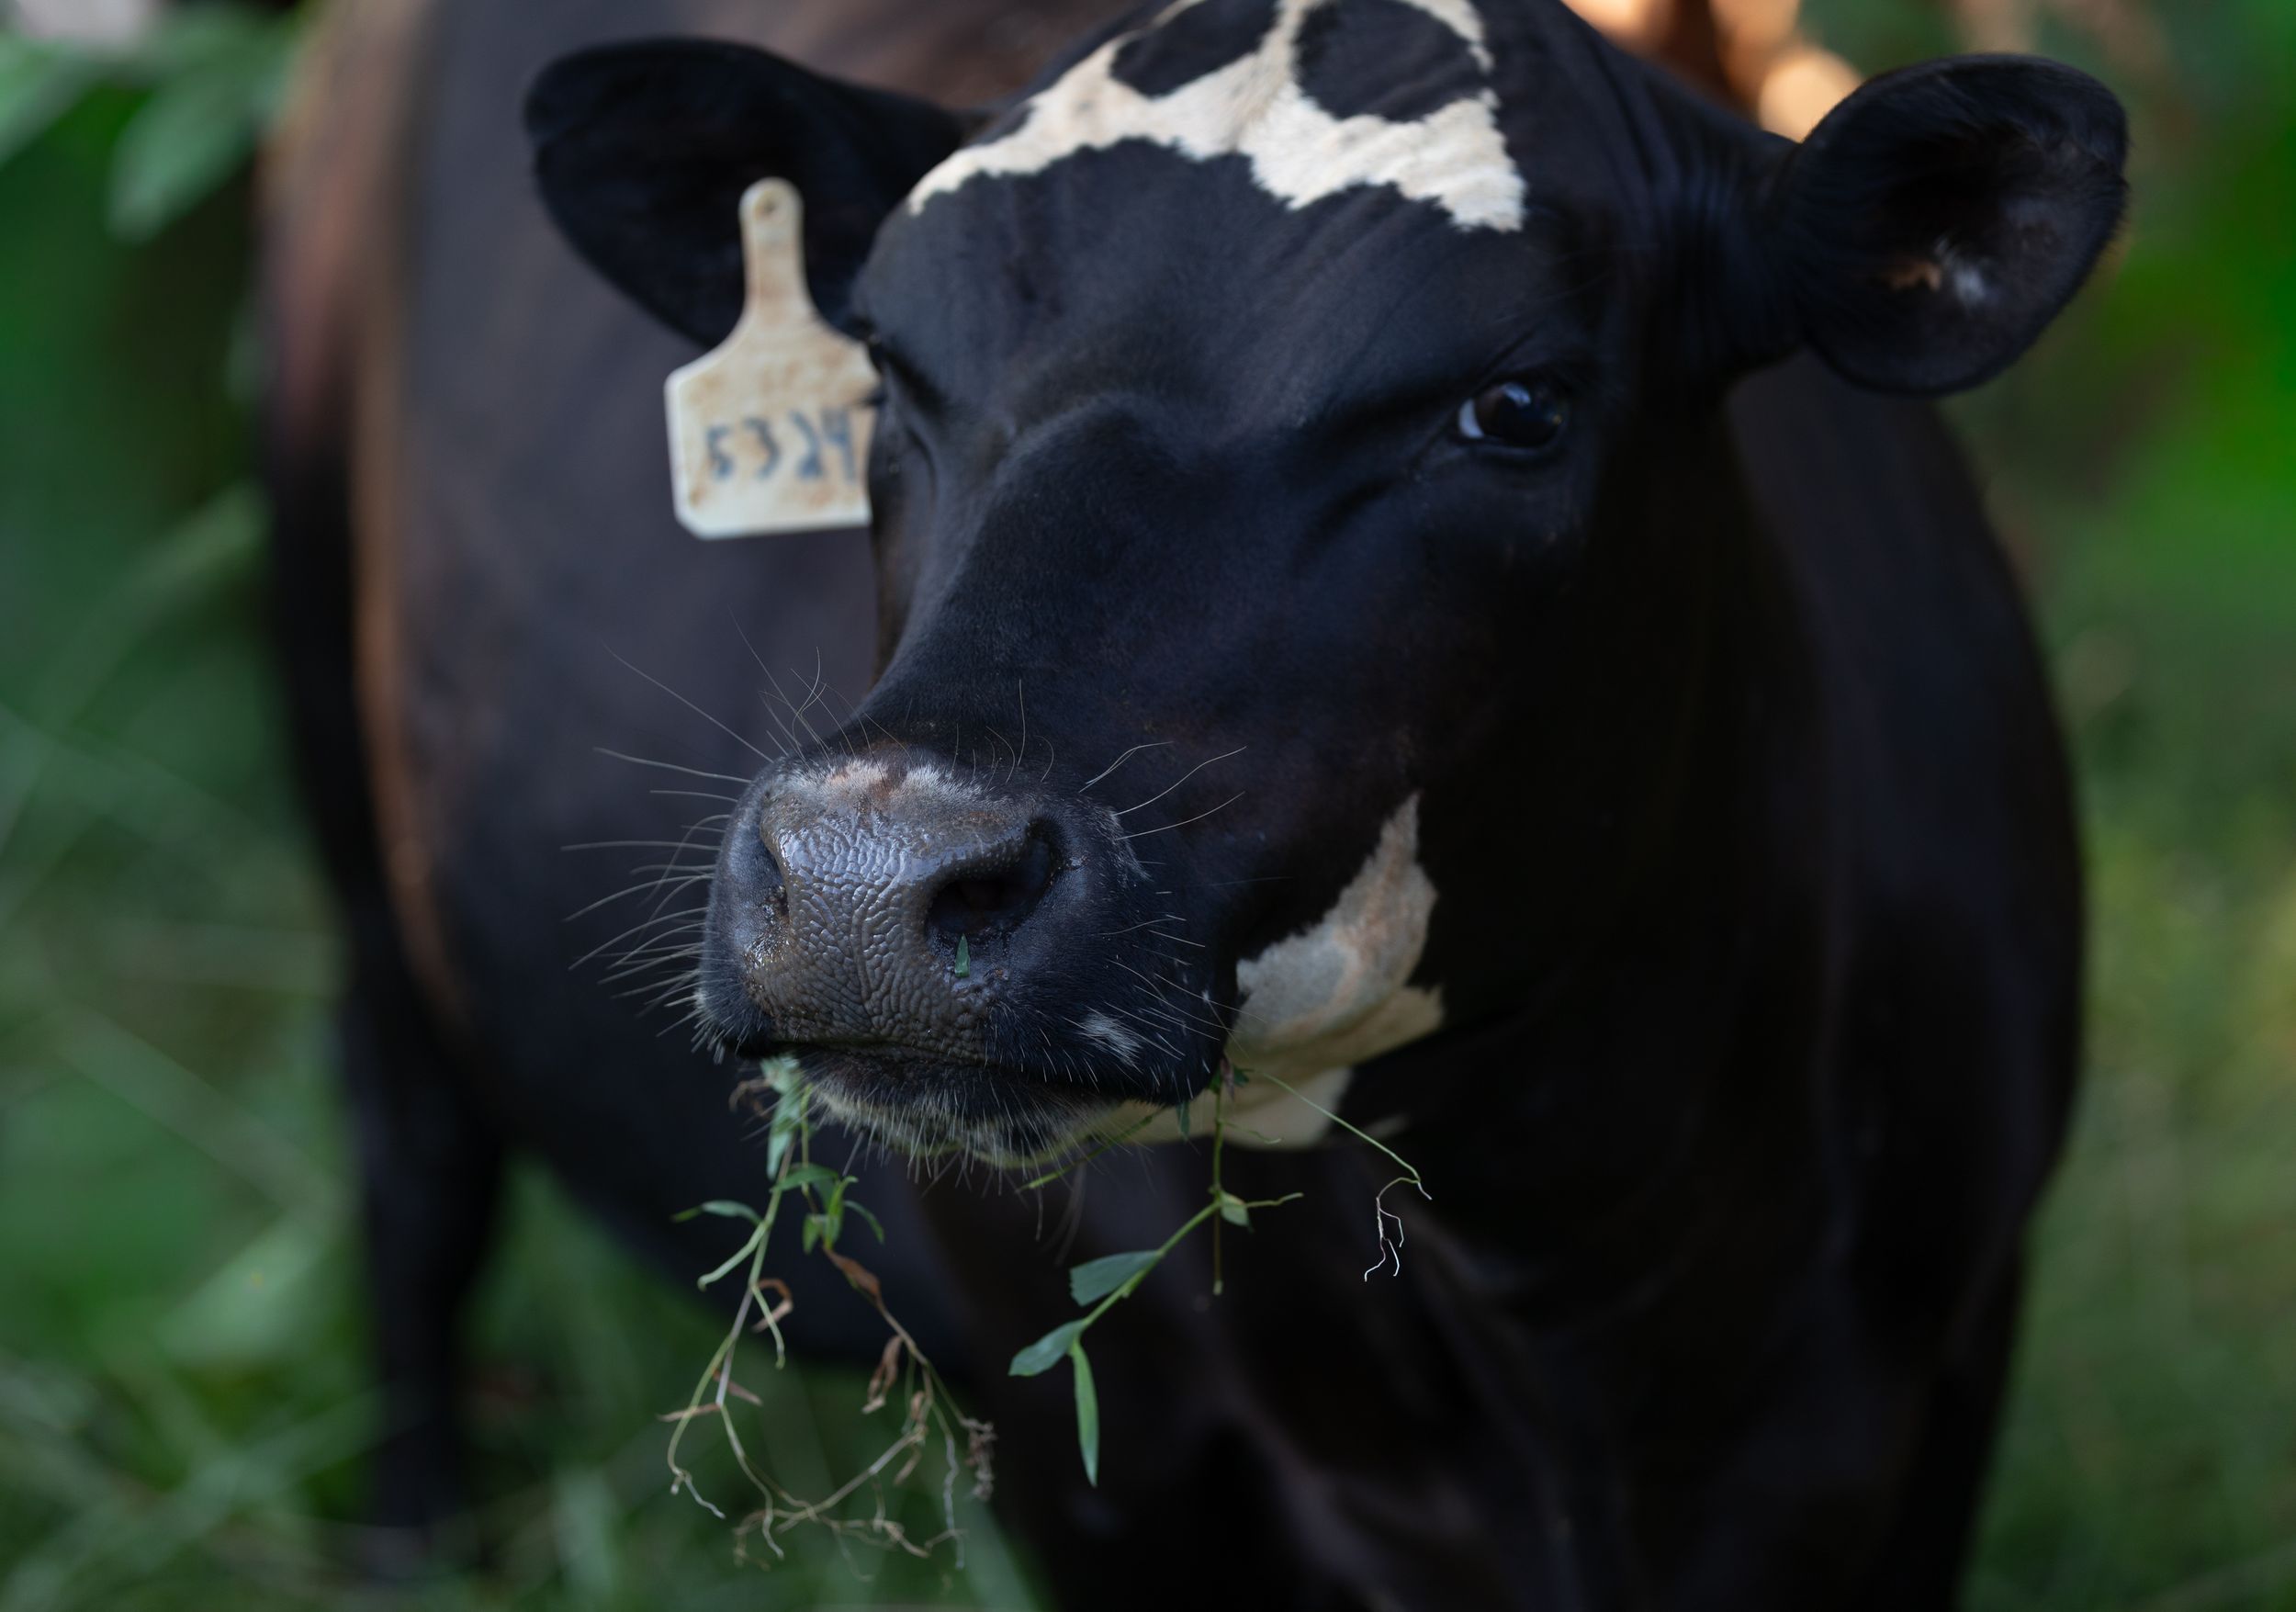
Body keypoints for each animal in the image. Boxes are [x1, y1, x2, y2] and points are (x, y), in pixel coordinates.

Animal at [263, 0, 2124, 1604]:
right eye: (888, 370)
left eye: (1516, 403)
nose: (870, 876)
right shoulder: (1103, 1454)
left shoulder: (1932, 1386)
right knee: (412, 1171)